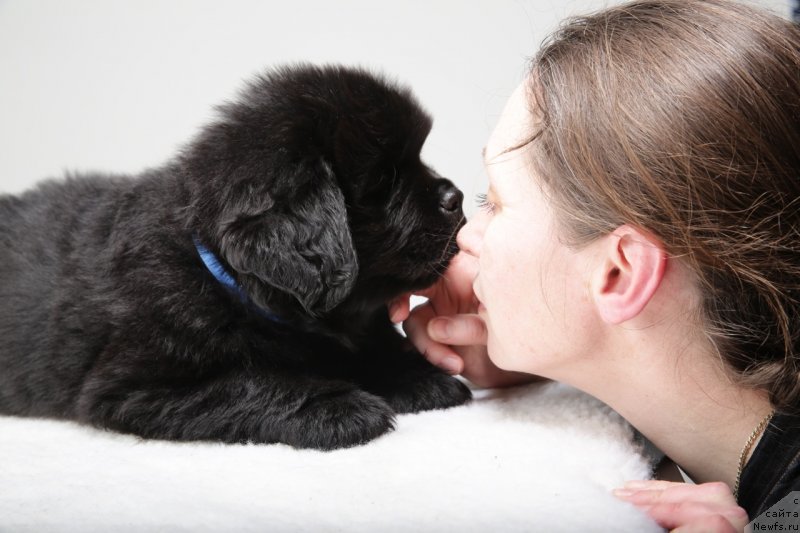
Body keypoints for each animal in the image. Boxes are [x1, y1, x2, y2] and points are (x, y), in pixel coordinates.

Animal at [0, 63, 468, 448]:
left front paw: (418, 376)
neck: (219, 274)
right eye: (383, 180)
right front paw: (340, 407)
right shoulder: (131, 389)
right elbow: (249, 382)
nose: (457, 197)